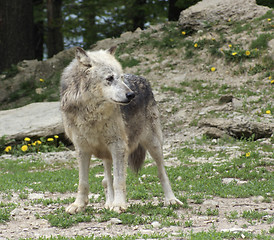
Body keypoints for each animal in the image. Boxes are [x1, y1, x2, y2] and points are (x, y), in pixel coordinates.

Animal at [59, 46, 182, 213]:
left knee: (162, 172)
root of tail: (143, 79)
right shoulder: (81, 149)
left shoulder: (118, 146)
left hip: (154, 144)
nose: (131, 94)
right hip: (106, 154)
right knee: (106, 179)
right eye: (110, 78)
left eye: (122, 77)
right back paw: (108, 203)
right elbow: (83, 182)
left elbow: (119, 180)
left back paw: (171, 199)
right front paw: (78, 205)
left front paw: (119, 205)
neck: (92, 114)